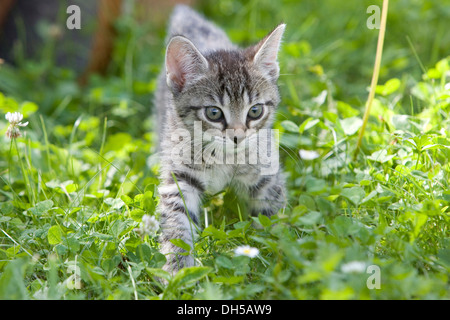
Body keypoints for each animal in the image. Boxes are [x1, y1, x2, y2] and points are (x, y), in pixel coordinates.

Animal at [155, 5, 286, 274]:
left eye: (255, 111)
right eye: (214, 113)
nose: (237, 136)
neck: (223, 157)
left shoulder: (266, 174)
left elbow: (273, 213)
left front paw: (280, 253)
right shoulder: (179, 178)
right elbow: (176, 221)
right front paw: (177, 267)